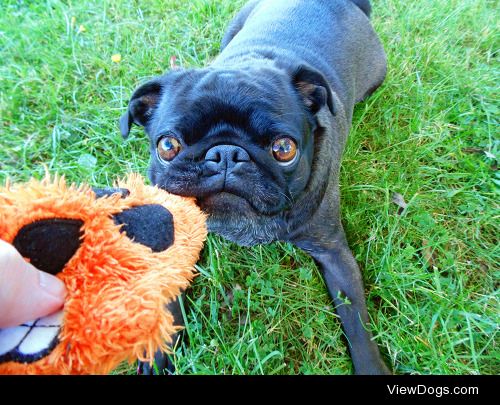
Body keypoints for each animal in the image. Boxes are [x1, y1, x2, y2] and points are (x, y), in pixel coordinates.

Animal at [120, 0, 390, 374]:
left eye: (284, 149)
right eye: (167, 146)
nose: (226, 154)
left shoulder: (334, 253)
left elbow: (357, 321)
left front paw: (370, 366)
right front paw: (160, 348)